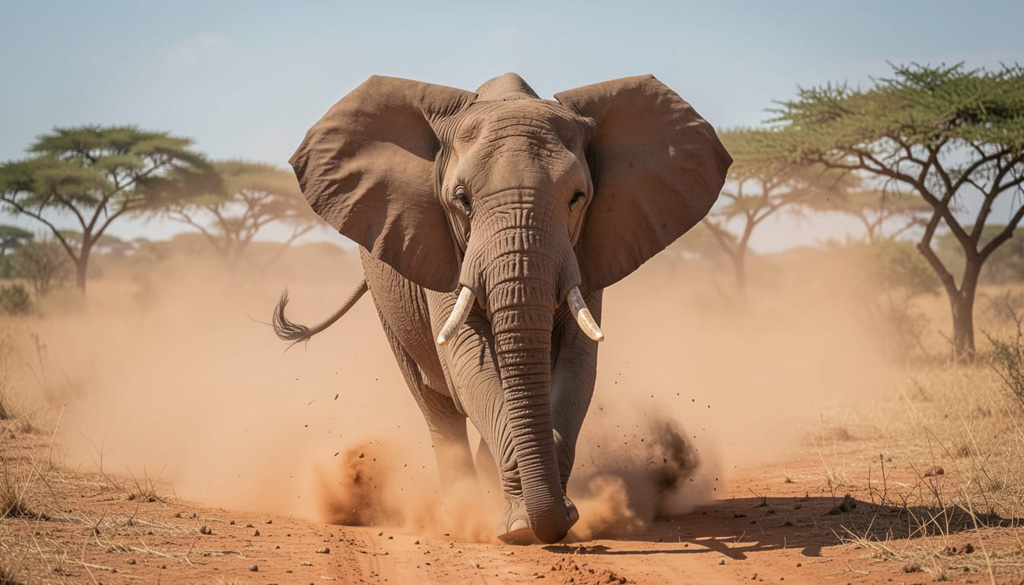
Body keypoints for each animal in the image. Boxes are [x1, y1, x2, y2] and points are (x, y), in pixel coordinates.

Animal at [273, 73, 731, 544]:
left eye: (577, 197)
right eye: (462, 200)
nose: (558, 522)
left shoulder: (587, 250)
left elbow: (576, 360)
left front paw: (544, 515)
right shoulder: (443, 247)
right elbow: (467, 361)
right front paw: (518, 526)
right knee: (435, 405)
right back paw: (456, 509)